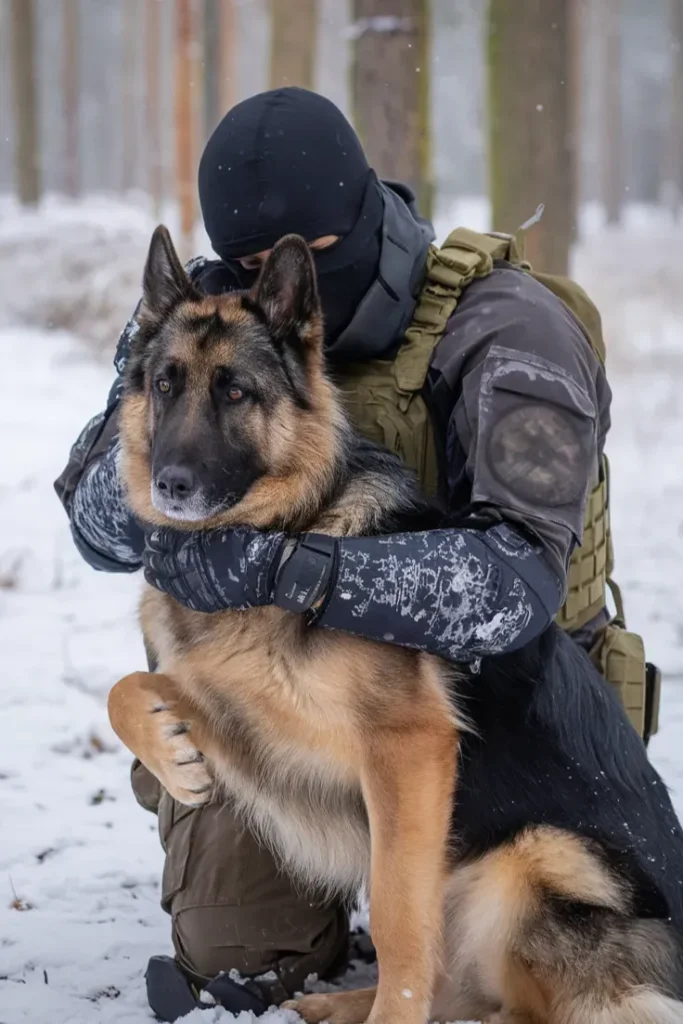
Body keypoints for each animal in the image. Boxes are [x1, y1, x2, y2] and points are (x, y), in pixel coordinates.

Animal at [107, 226, 683, 1024]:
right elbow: (128, 687)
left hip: (534, 859)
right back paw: (330, 1003)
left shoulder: (406, 752)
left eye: (236, 392)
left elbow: (396, 916)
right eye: (164, 385)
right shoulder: (252, 715)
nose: (171, 485)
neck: (298, 526)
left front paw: (394, 1010)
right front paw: (172, 756)